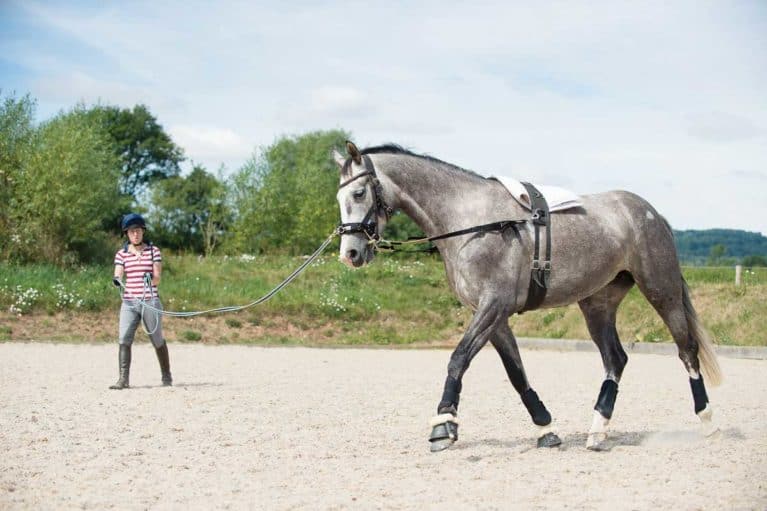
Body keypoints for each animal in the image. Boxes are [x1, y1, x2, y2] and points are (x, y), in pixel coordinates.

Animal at [332, 140, 724, 452]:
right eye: (339, 196)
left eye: (359, 193)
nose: (350, 253)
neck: (472, 222)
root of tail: (650, 212)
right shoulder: (492, 314)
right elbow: (516, 372)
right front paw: (546, 428)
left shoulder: (493, 306)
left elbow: (458, 359)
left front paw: (443, 426)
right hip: (597, 302)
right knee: (615, 359)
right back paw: (597, 431)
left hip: (661, 289)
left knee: (686, 350)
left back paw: (707, 421)